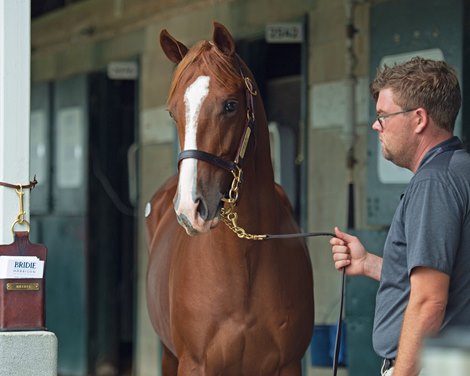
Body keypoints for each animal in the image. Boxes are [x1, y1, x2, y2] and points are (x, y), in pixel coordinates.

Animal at [146, 22, 316, 374]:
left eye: (230, 105)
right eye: (172, 113)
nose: (190, 208)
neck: (242, 261)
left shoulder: (289, 364)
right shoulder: (194, 363)